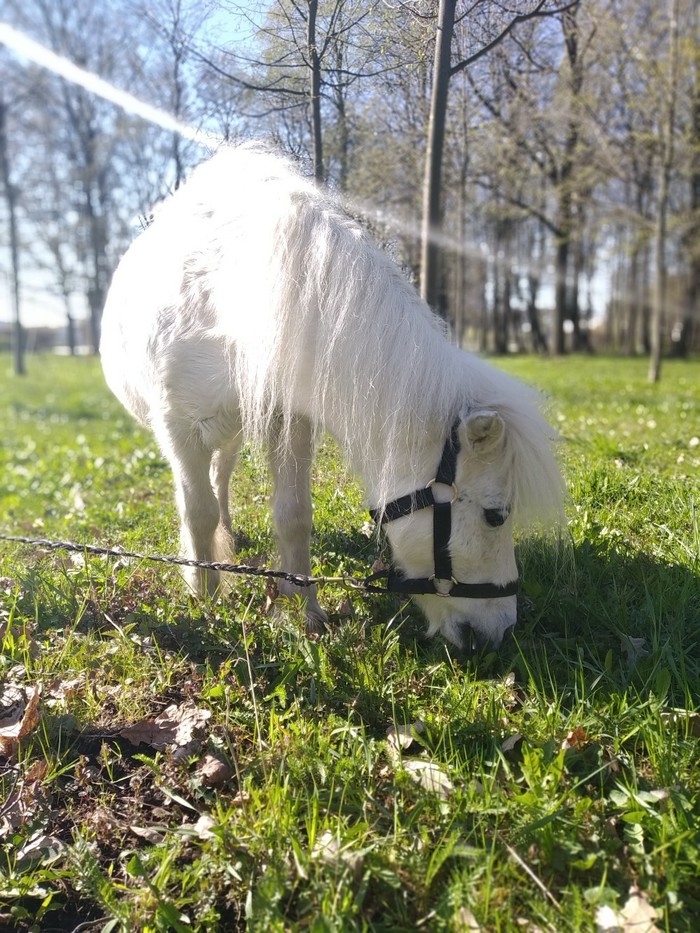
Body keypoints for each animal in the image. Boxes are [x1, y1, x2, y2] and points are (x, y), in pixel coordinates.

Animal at [100, 144, 564, 648]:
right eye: (496, 515)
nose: (499, 632)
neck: (232, 294)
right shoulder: (180, 430)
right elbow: (197, 513)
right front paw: (204, 600)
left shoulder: (289, 422)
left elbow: (293, 515)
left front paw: (304, 612)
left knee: (222, 475)